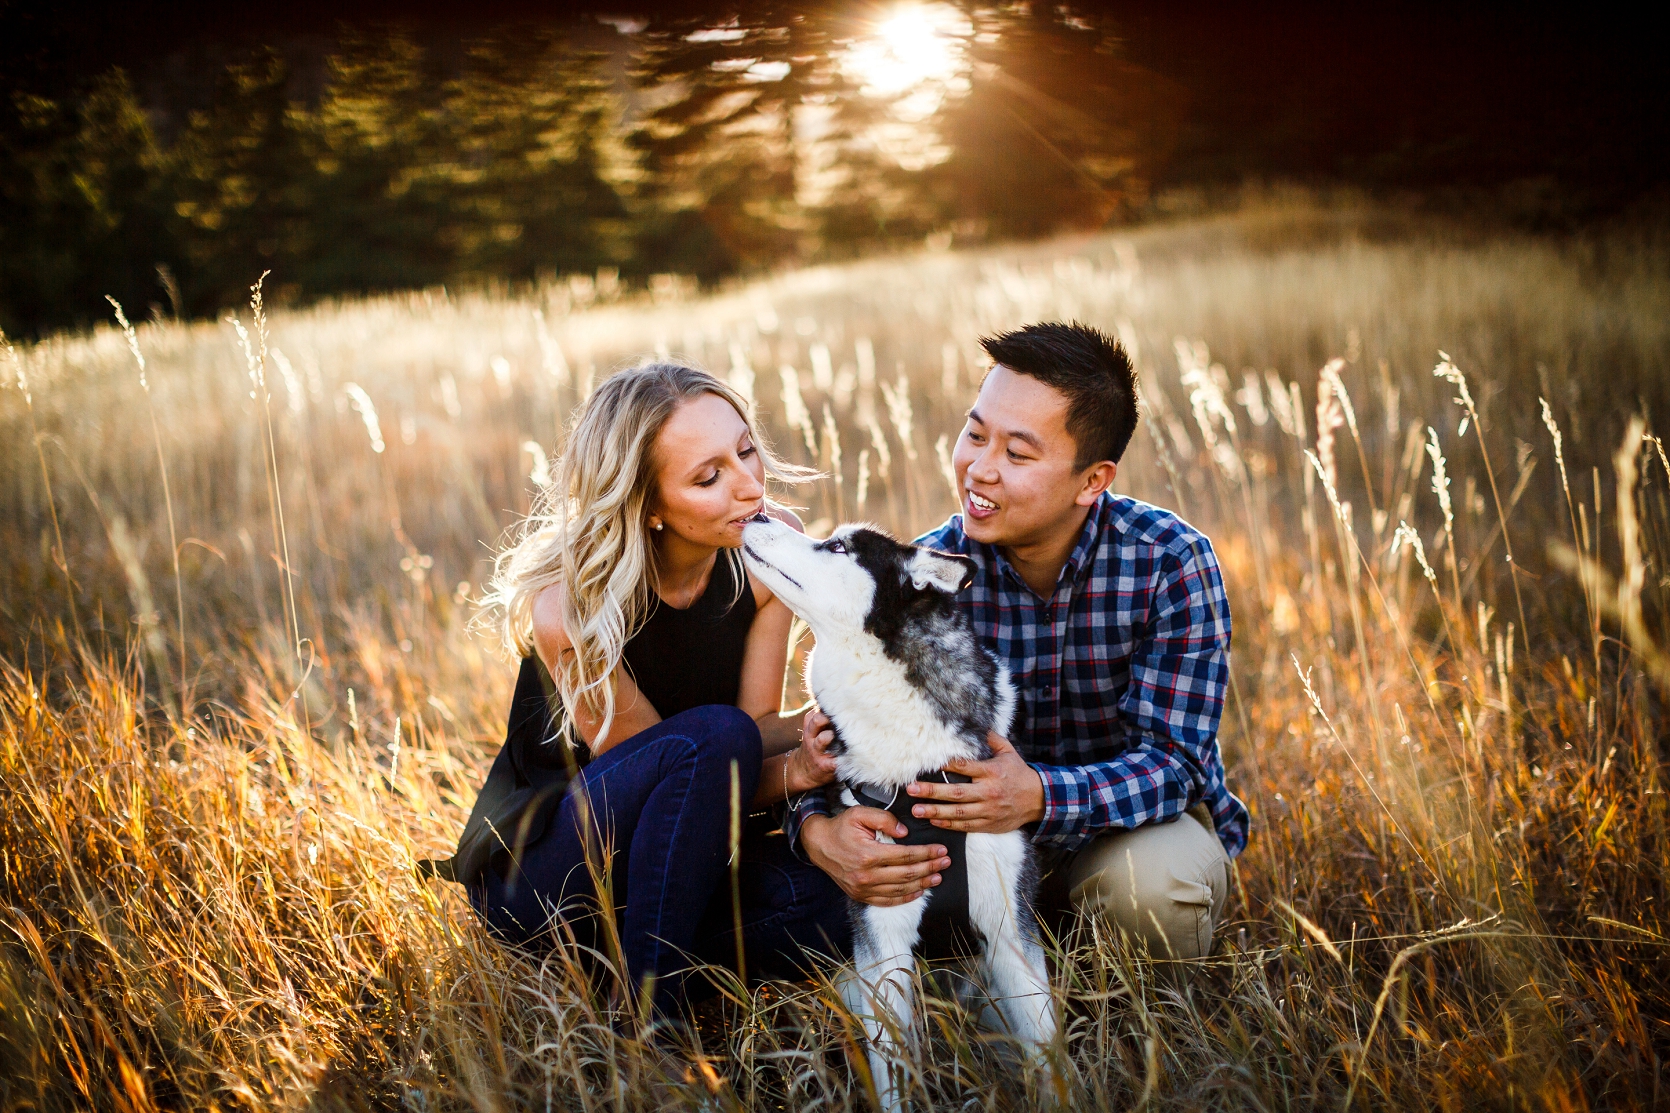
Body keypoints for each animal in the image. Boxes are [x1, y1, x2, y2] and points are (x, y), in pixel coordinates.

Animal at [744, 514, 1055, 1102]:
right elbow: (892, 1077)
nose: (757, 514)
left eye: (838, 547)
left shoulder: (1011, 931)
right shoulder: (882, 937)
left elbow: (1050, 1057)